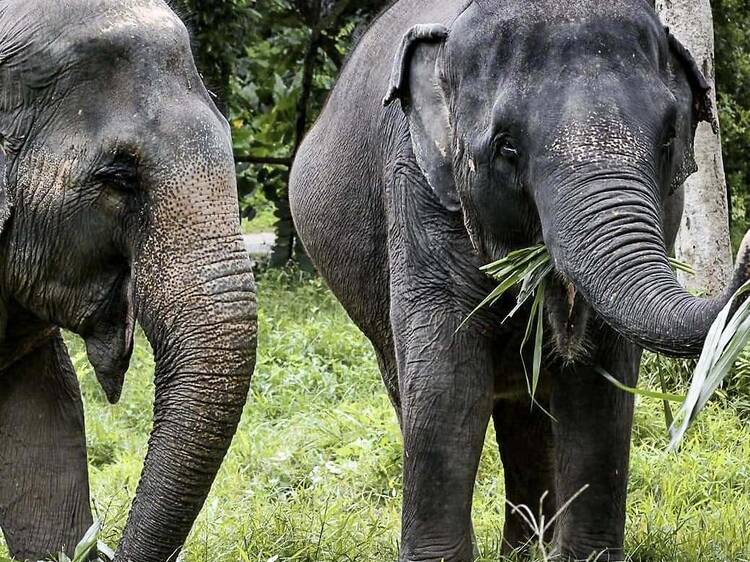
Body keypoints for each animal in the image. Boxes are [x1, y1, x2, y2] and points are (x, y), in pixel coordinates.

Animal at [290, 1, 750, 560]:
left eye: (667, 140)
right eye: (507, 148)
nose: (749, 244)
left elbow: (600, 381)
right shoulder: (416, 188)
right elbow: (446, 380)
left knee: (528, 413)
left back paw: (528, 550)